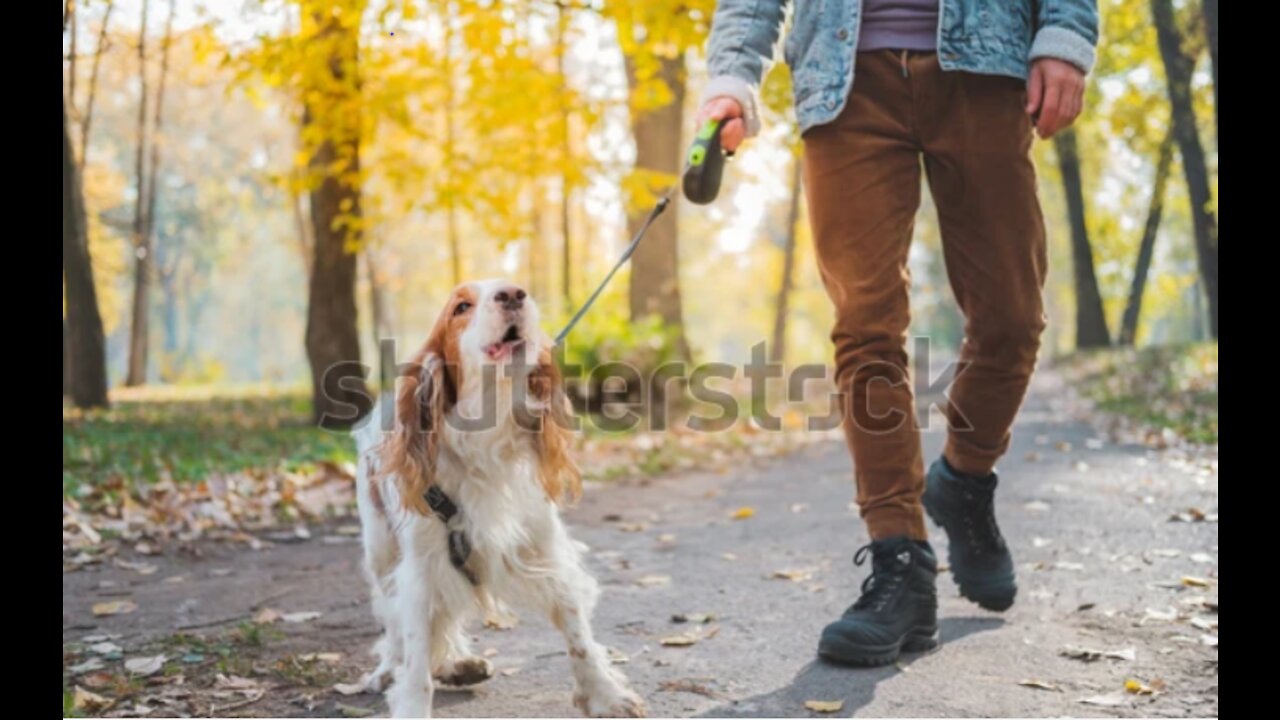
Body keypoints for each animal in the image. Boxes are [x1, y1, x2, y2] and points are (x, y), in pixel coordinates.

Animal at [353, 278, 645, 712]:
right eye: (461, 307)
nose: (512, 294)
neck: (486, 436)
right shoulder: (421, 567)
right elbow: (416, 655)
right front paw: (412, 702)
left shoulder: (544, 549)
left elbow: (578, 635)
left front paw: (605, 695)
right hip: (381, 551)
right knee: (392, 621)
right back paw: (392, 668)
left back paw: (459, 664)